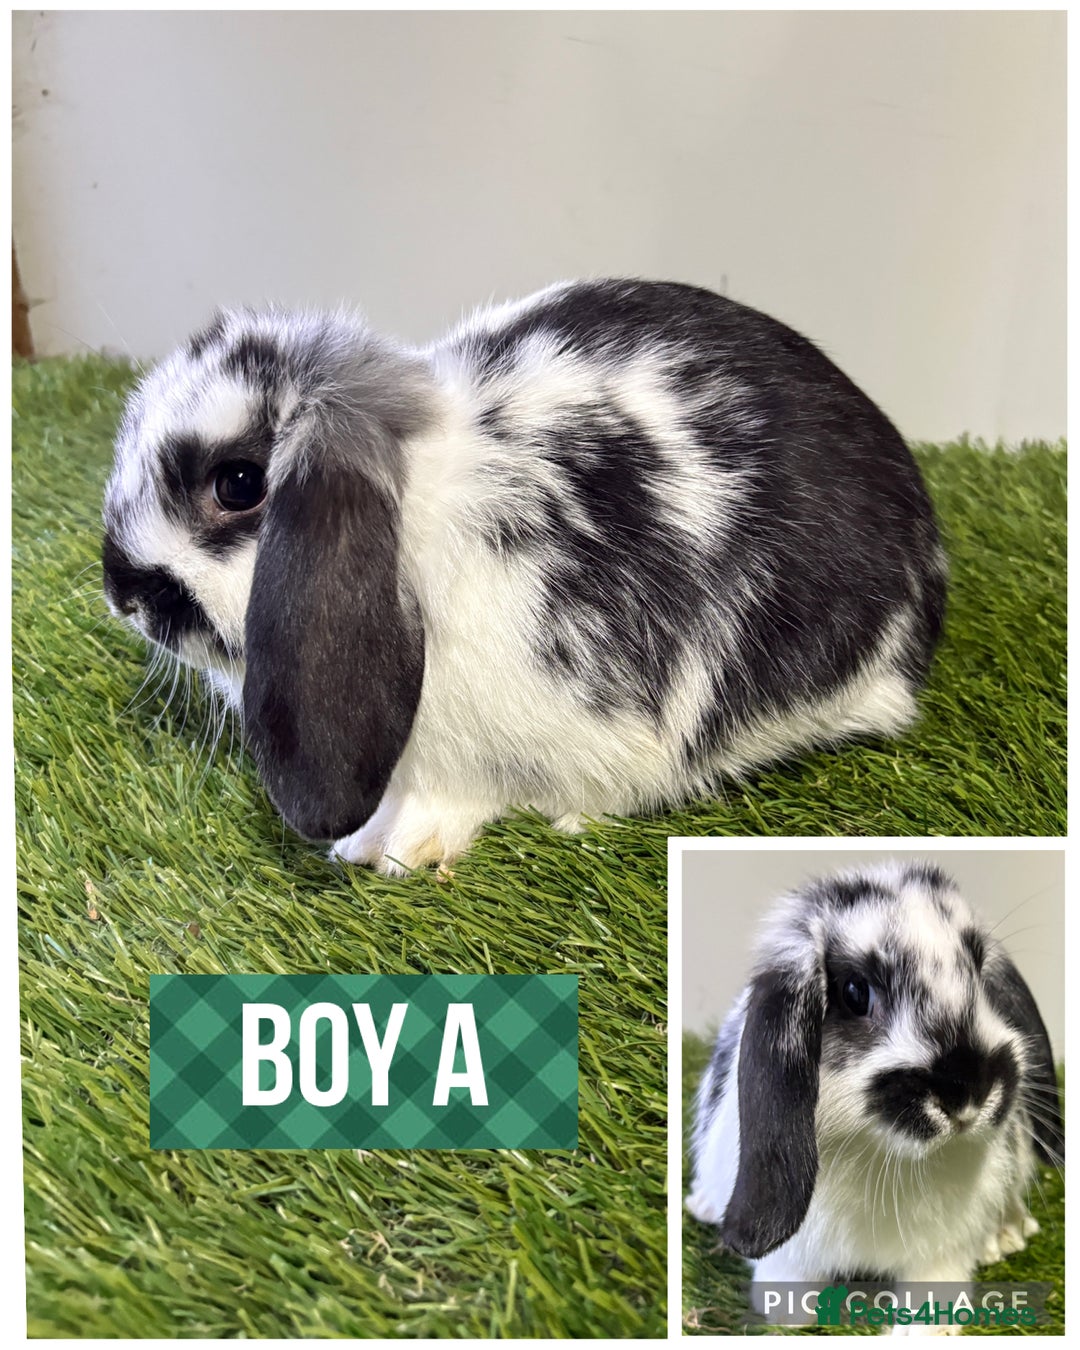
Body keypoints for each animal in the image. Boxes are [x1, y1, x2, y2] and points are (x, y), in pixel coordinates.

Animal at [686, 861, 1063, 1330]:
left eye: (979, 971)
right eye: (855, 992)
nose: (966, 1094)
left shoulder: (941, 1251)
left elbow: (933, 1289)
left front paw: (928, 1333)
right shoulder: (789, 1257)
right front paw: (785, 1319)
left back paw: (1007, 1235)